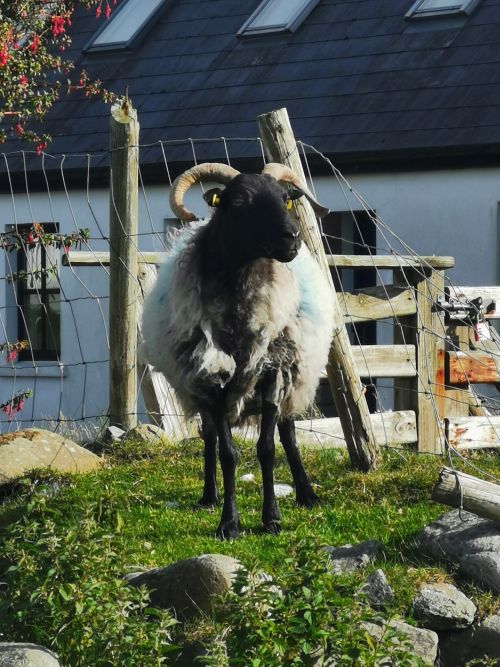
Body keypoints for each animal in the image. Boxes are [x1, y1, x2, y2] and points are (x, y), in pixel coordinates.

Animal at [141, 162, 334, 539]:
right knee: (209, 438)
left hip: (293, 373)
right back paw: (209, 496)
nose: (292, 237)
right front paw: (228, 523)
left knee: (289, 433)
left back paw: (306, 494)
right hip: (198, 385)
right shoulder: (213, 375)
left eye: (286, 199)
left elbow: (267, 449)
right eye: (241, 202)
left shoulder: (273, 371)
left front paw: (271, 518)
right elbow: (227, 453)